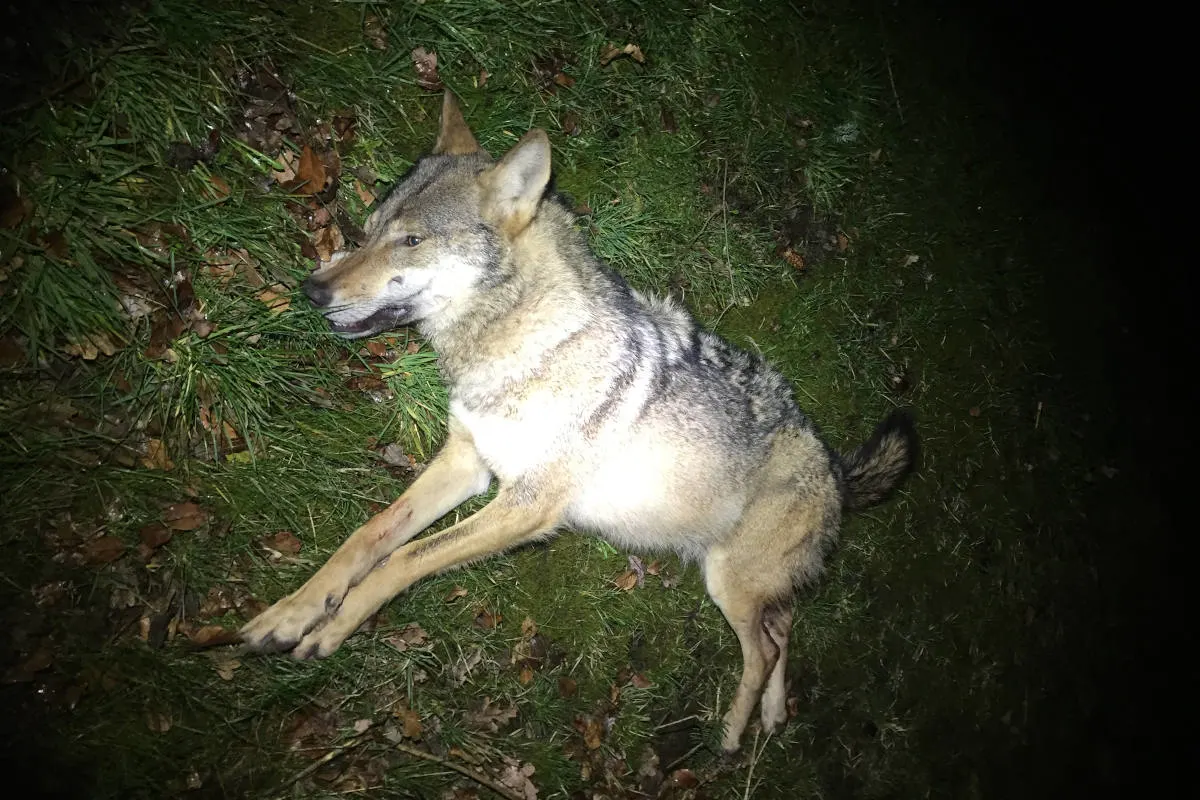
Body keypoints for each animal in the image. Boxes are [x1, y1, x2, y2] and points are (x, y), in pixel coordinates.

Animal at [241, 92, 917, 752]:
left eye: (410, 242)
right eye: (371, 229)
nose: (312, 290)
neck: (524, 343)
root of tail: (835, 469)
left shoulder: (525, 505)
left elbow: (403, 560)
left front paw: (335, 626)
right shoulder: (467, 463)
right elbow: (369, 537)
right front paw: (292, 612)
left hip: (730, 582)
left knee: (768, 646)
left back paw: (731, 734)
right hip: (738, 582)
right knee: (786, 627)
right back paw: (773, 714)